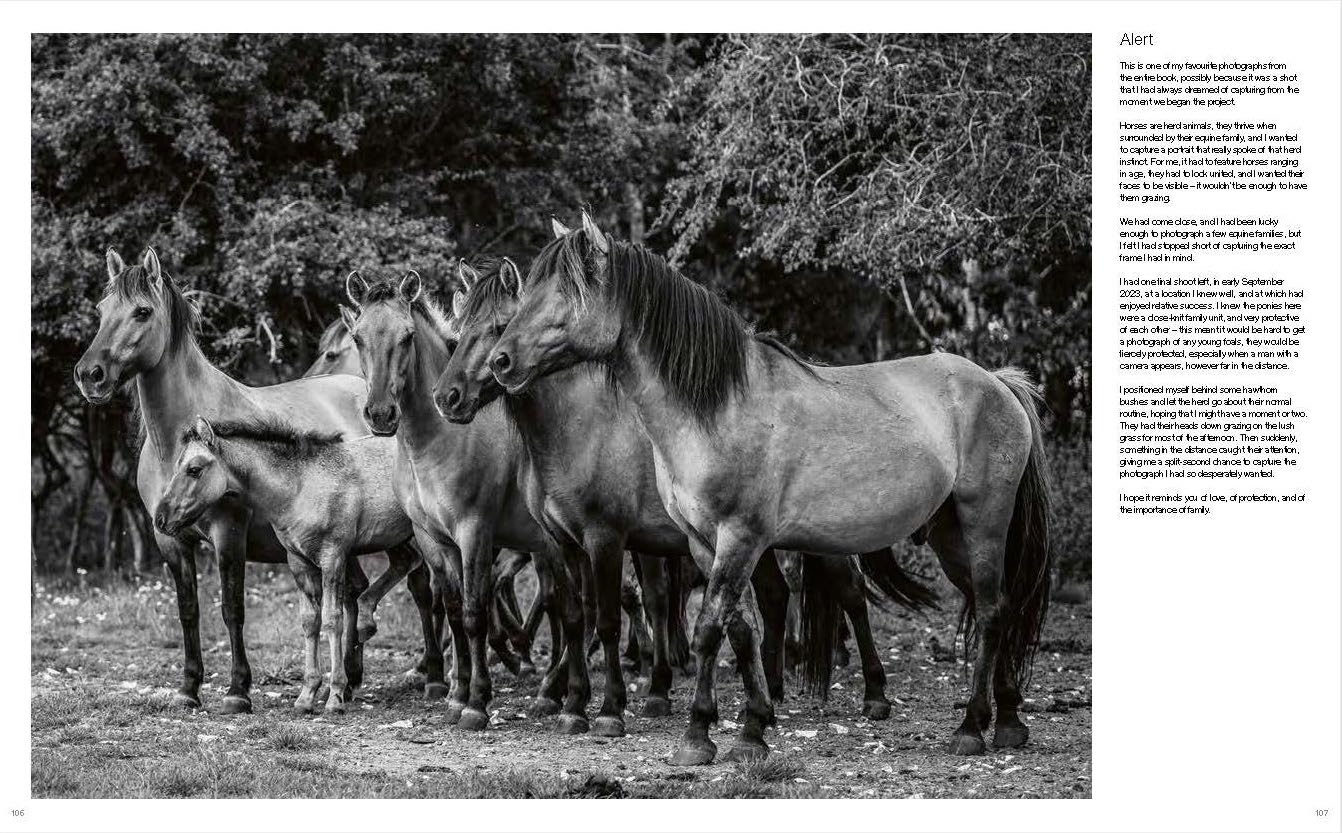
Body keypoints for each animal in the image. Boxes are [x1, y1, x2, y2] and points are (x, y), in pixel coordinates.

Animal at [154, 416, 416, 712]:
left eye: (194, 469)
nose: (160, 519)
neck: (300, 486)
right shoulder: (298, 561)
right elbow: (310, 621)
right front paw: (307, 695)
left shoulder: (333, 556)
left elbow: (331, 620)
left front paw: (335, 695)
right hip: (398, 537)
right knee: (406, 563)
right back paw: (367, 621)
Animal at [340, 270, 587, 732]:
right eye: (358, 337)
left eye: (407, 337)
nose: (380, 414)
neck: (439, 441)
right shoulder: (433, 539)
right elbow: (453, 609)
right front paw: (456, 695)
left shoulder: (474, 533)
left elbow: (474, 613)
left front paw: (476, 702)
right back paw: (554, 690)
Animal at [434, 254, 936, 728]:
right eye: (459, 329)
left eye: (500, 326)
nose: (448, 397)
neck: (581, 427)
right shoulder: (563, 543)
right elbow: (578, 615)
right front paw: (572, 701)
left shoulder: (608, 538)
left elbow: (611, 617)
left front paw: (612, 706)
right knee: (774, 597)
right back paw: (769, 694)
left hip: (820, 539)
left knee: (850, 595)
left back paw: (874, 693)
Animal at [488, 211, 1053, 765]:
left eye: (566, 290)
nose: (500, 361)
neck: (717, 408)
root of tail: (997, 382)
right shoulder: (704, 542)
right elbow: (740, 630)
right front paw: (753, 728)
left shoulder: (740, 537)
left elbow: (709, 628)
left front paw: (697, 736)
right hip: (950, 534)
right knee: (994, 605)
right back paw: (1008, 721)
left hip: (983, 522)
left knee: (991, 611)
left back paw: (971, 726)